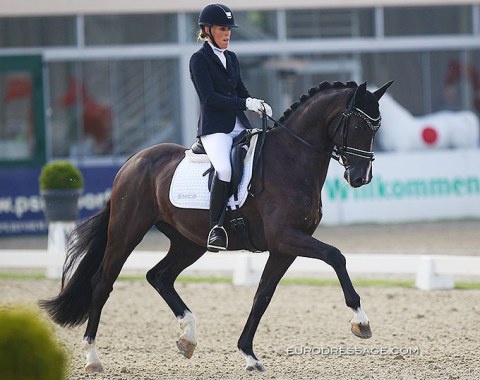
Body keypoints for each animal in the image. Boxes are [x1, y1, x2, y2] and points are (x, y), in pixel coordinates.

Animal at [40, 78, 394, 372]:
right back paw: (92, 358)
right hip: (127, 232)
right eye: (358, 124)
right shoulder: (287, 237)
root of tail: (133, 160)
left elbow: (263, 295)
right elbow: (336, 256)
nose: (360, 178)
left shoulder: (285, 247)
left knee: (159, 276)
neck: (291, 160)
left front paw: (249, 355)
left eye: (376, 128)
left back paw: (188, 337)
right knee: (103, 283)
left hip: (189, 242)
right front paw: (361, 322)